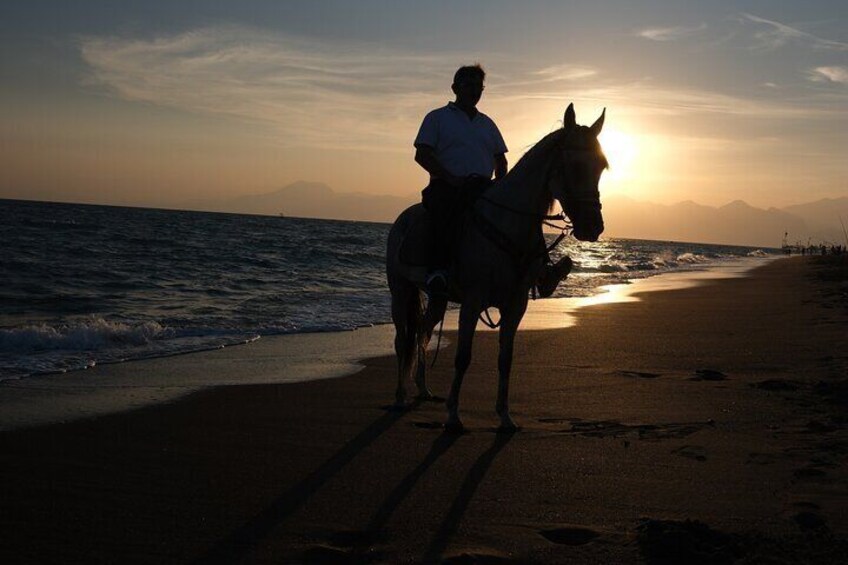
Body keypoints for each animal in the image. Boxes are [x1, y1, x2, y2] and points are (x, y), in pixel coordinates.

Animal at [388, 103, 608, 432]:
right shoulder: (473, 300)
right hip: (400, 291)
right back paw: (401, 396)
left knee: (423, 334)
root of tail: (402, 219)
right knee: (403, 340)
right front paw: (453, 416)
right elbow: (463, 356)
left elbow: (506, 358)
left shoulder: (515, 304)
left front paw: (505, 416)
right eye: (574, 165)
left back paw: (424, 390)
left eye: (602, 166)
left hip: (438, 298)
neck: (507, 224)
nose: (593, 227)